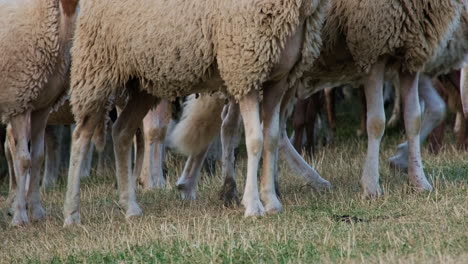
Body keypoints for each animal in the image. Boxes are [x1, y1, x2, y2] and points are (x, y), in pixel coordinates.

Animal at [0, 0, 78, 227]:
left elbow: (38, 157)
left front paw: (36, 211)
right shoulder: (18, 100)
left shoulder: (42, 105)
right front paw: (19, 216)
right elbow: (23, 159)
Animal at [64, 0, 330, 225]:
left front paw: (272, 201)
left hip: (143, 80)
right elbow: (255, 140)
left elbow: (271, 140)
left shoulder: (277, 79)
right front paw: (253, 205)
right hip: (97, 67)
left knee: (121, 131)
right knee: (81, 136)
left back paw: (130, 207)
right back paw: (72, 214)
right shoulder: (244, 68)